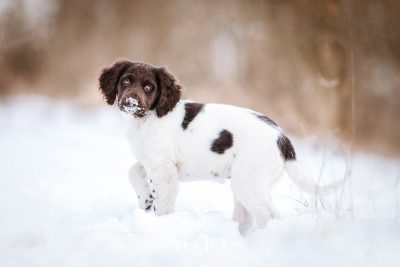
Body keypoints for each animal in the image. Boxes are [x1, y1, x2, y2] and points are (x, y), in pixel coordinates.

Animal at [98, 60, 340, 234]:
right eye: (125, 82)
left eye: (149, 87)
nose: (130, 103)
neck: (147, 119)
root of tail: (283, 139)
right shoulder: (153, 163)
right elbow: (133, 171)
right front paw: (145, 199)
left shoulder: (164, 171)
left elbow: (163, 202)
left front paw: (159, 223)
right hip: (244, 183)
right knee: (246, 217)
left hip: (248, 183)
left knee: (269, 216)